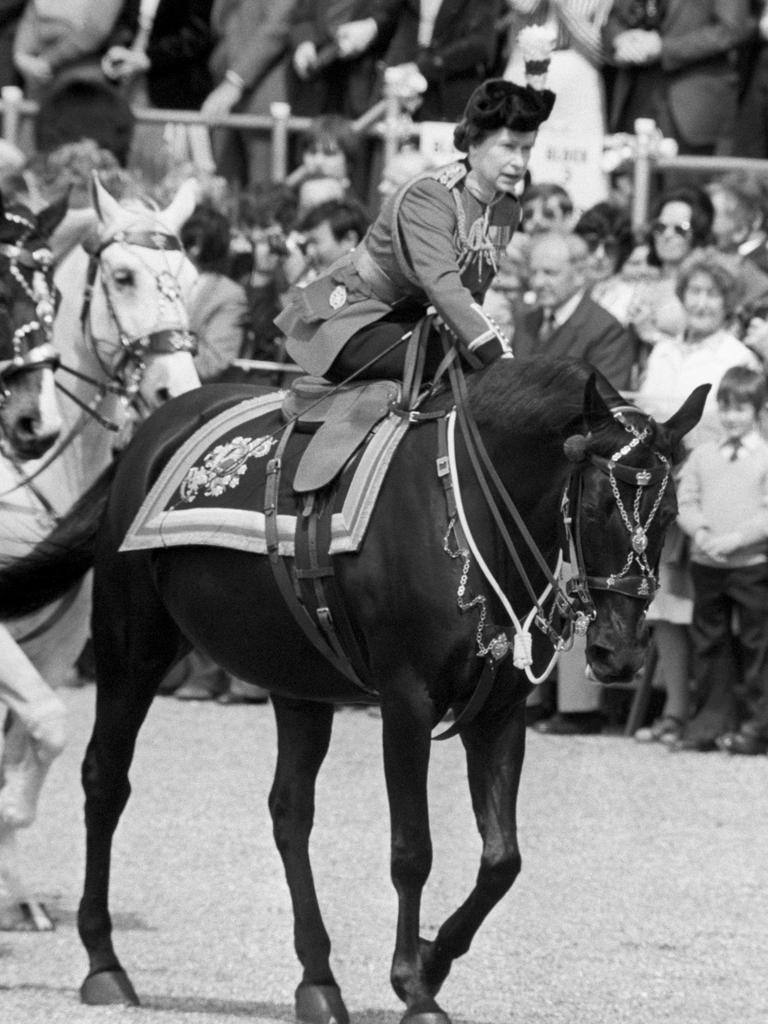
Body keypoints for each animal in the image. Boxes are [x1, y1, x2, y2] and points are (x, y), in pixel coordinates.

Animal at [0, 176, 202, 929]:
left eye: (188, 279)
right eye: (122, 276)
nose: (176, 389)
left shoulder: (54, 649)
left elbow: (34, 739)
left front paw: (16, 890)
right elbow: (47, 728)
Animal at [0, 356, 708, 1019]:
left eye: (670, 514)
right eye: (591, 506)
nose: (619, 652)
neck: (470, 510)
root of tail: (151, 432)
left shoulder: (500, 712)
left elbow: (502, 859)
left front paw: (433, 959)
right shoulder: (407, 704)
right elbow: (413, 850)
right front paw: (414, 986)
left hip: (298, 685)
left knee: (289, 813)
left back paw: (317, 981)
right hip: (132, 652)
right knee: (105, 782)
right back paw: (104, 961)